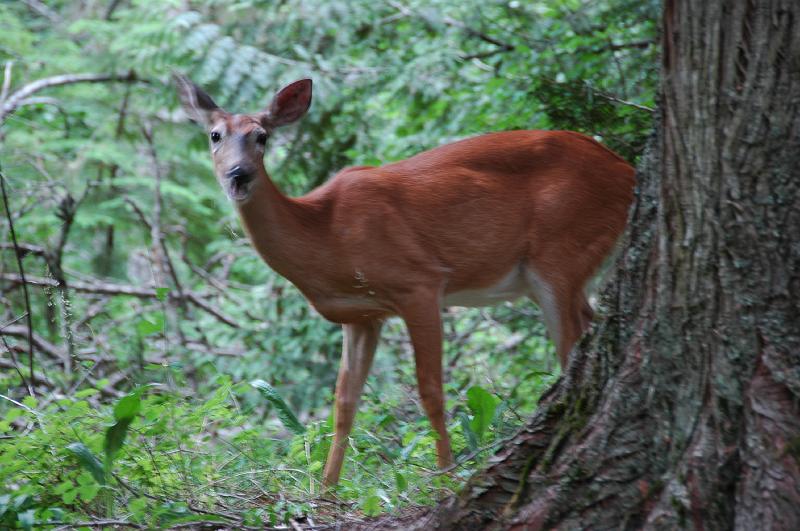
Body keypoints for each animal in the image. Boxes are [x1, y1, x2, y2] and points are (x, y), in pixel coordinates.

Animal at [175, 75, 636, 486]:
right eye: (215, 135)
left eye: (262, 137)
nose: (239, 175)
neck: (325, 233)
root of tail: (628, 171)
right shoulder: (362, 315)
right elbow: (344, 403)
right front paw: (325, 494)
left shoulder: (419, 284)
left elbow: (430, 390)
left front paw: (445, 478)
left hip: (560, 251)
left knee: (572, 348)